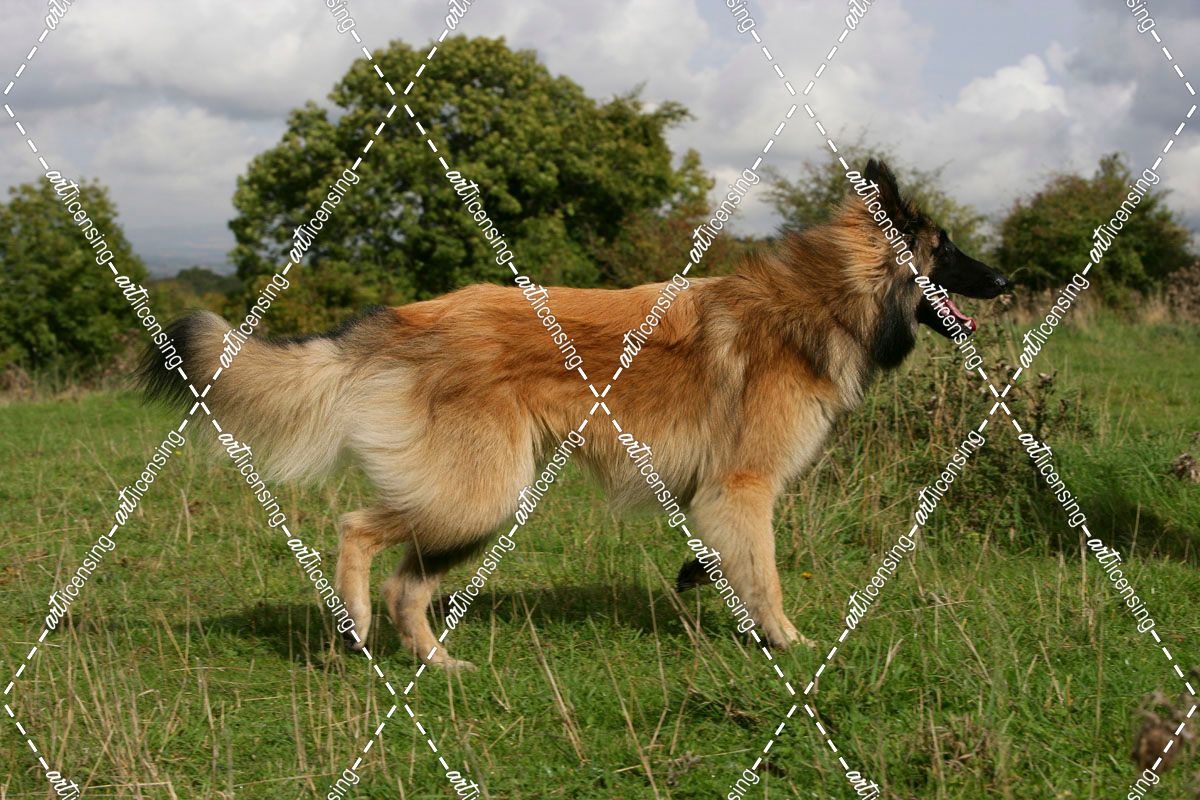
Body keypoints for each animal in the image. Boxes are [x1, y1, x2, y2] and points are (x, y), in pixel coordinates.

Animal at [139, 159, 1007, 668]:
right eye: (949, 247)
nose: (1005, 280)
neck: (824, 301)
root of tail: (409, 320)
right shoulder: (745, 485)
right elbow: (764, 573)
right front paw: (786, 639)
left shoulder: (717, 493)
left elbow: (723, 556)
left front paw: (703, 584)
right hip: (478, 494)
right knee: (358, 531)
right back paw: (353, 625)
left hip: (478, 505)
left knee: (406, 587)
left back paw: (434, 661)